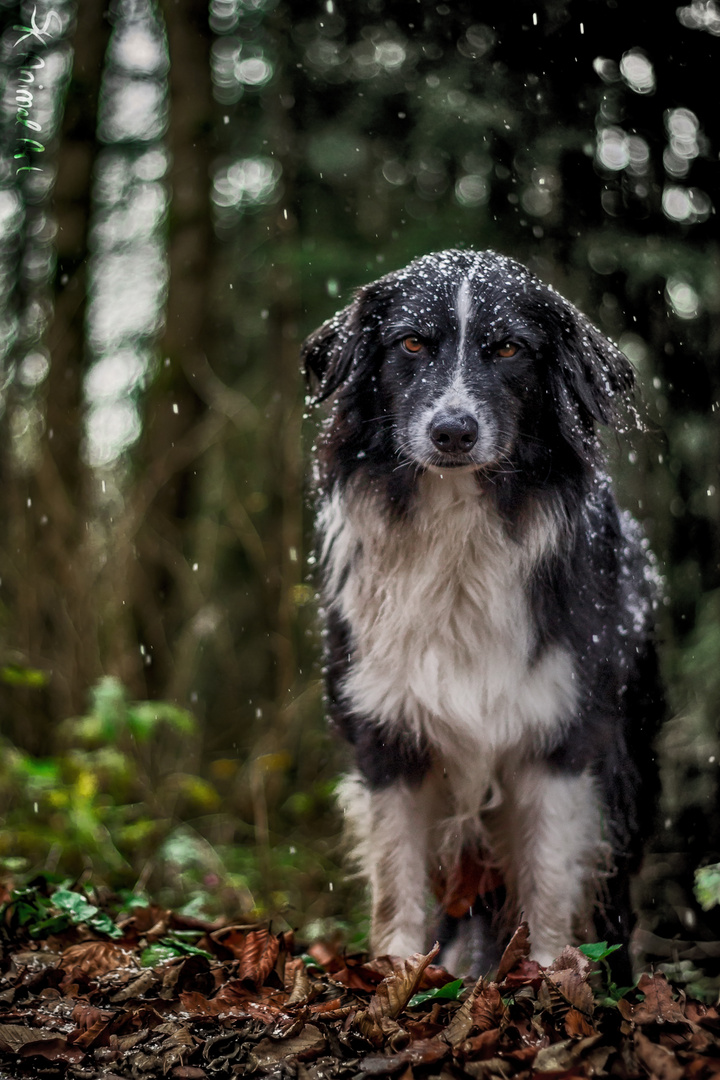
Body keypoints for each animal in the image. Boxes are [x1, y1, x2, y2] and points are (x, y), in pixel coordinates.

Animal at [304, 250, 664, 972]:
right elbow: (396, 876)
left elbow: (550, 875)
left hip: (631, 767)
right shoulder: (386, 730)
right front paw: (396, 974)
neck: (458, 527)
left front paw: (551, 975)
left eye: (509, 349)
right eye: (411, 344)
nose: (452, 431)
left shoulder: (565, 731)